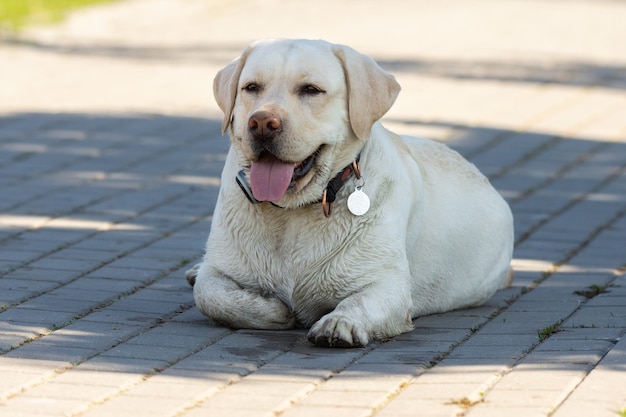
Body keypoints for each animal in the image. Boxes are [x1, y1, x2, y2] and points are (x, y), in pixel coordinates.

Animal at [189, 38, 512, 348]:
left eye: (311, 90)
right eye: (251, 87)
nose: (262, 123)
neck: (292, 212)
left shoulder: (389, 285)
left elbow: (359, 301)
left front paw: (339, 322)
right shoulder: (219, 269)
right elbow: (208, 294)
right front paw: (273, 310)